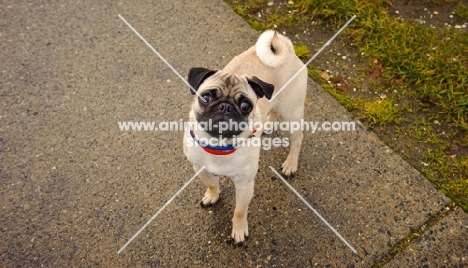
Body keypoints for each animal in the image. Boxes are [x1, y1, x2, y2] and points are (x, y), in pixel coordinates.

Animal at [183, 29, 308, 245]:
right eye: (205, 97)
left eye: (245, 105)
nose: (225, 107)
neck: (219, 145)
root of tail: (288, 50)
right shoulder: (199, 168)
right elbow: (211, 184)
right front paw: (212, 195)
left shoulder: (244, 184)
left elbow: (240, 211)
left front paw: (239, 231)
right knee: (272, 109)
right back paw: (267, 125)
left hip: (291, 112)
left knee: (297, 139)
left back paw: (291, 164)